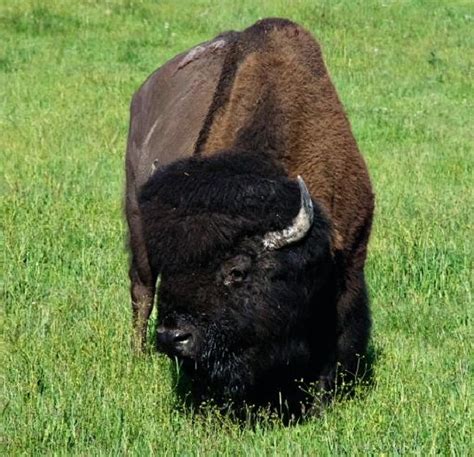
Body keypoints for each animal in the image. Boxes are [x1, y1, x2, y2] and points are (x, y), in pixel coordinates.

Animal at [125, 16, 374, 410]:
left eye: (237, 271)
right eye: (173, 266)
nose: (172, 337)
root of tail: (144, 93)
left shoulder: (350, 256)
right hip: (136, 228)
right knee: (141, 293)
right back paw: (137, 356)